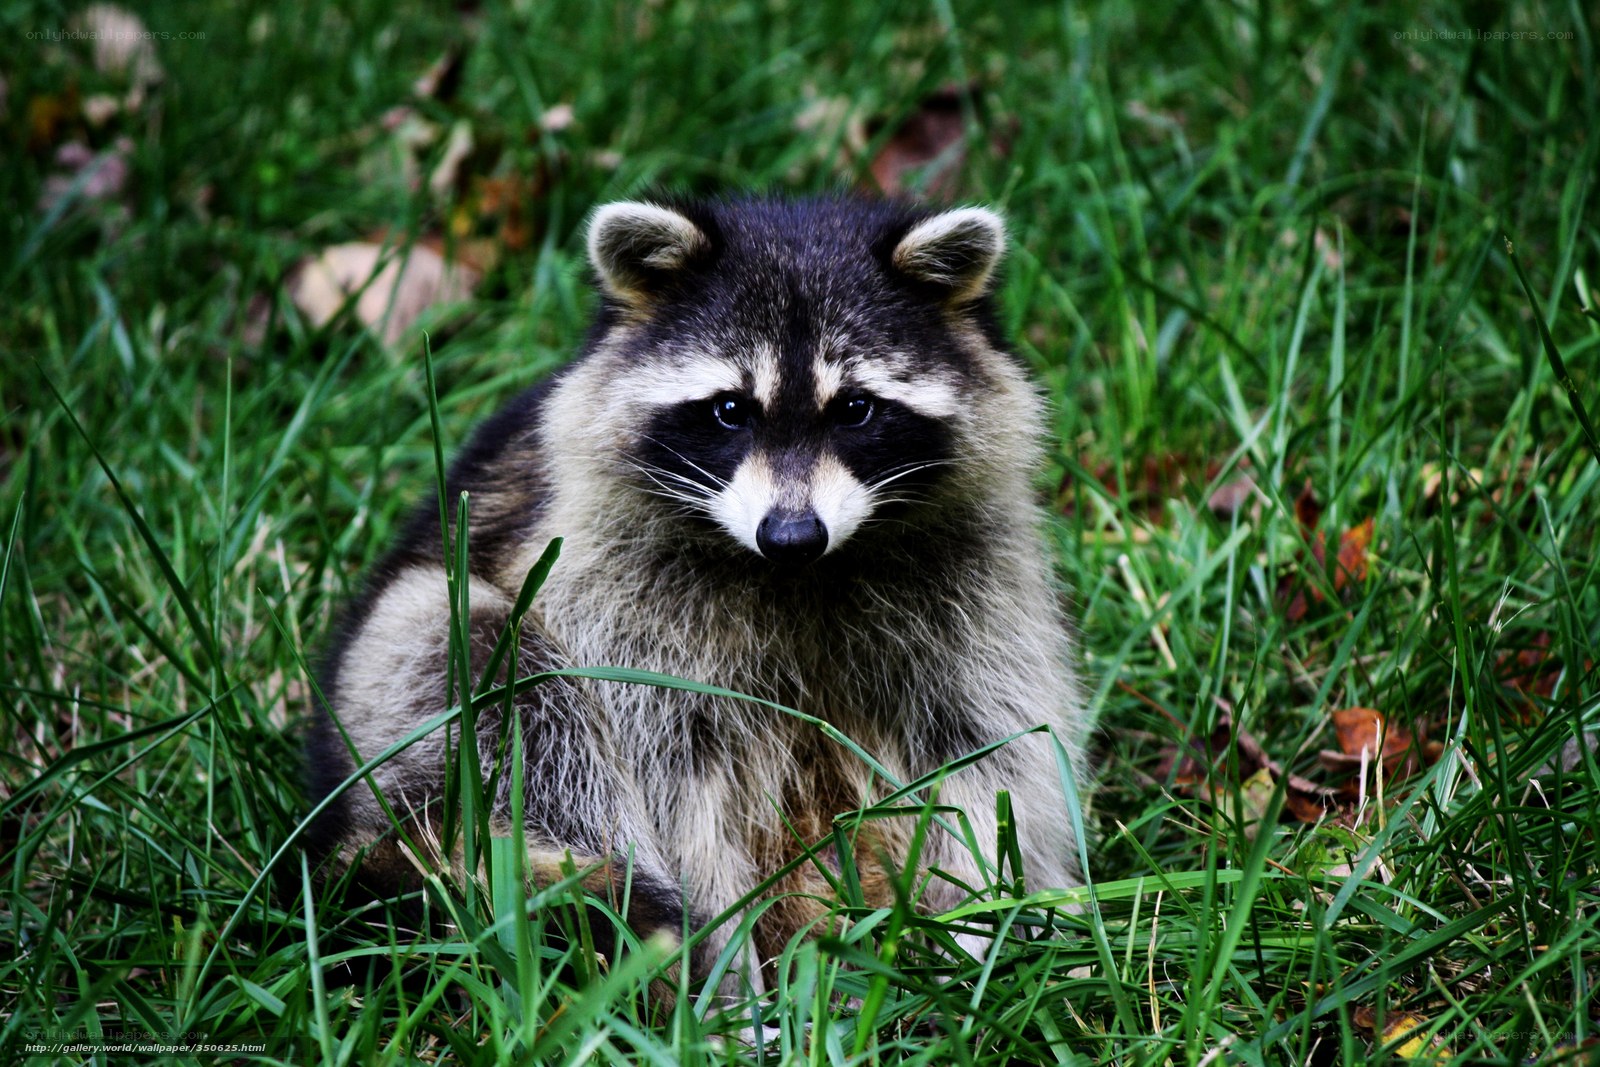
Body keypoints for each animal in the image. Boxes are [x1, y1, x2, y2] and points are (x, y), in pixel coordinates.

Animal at [306, 195, 1091, 982]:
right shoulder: (621, 601)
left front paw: (986, 930)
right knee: (499, 674)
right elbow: (675, 790)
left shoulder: (974, 591)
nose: (792, 534)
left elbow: (988, 758)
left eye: (856, 409)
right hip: (397, 684)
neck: (800, 575)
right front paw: (724, 974)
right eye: (730, 410)